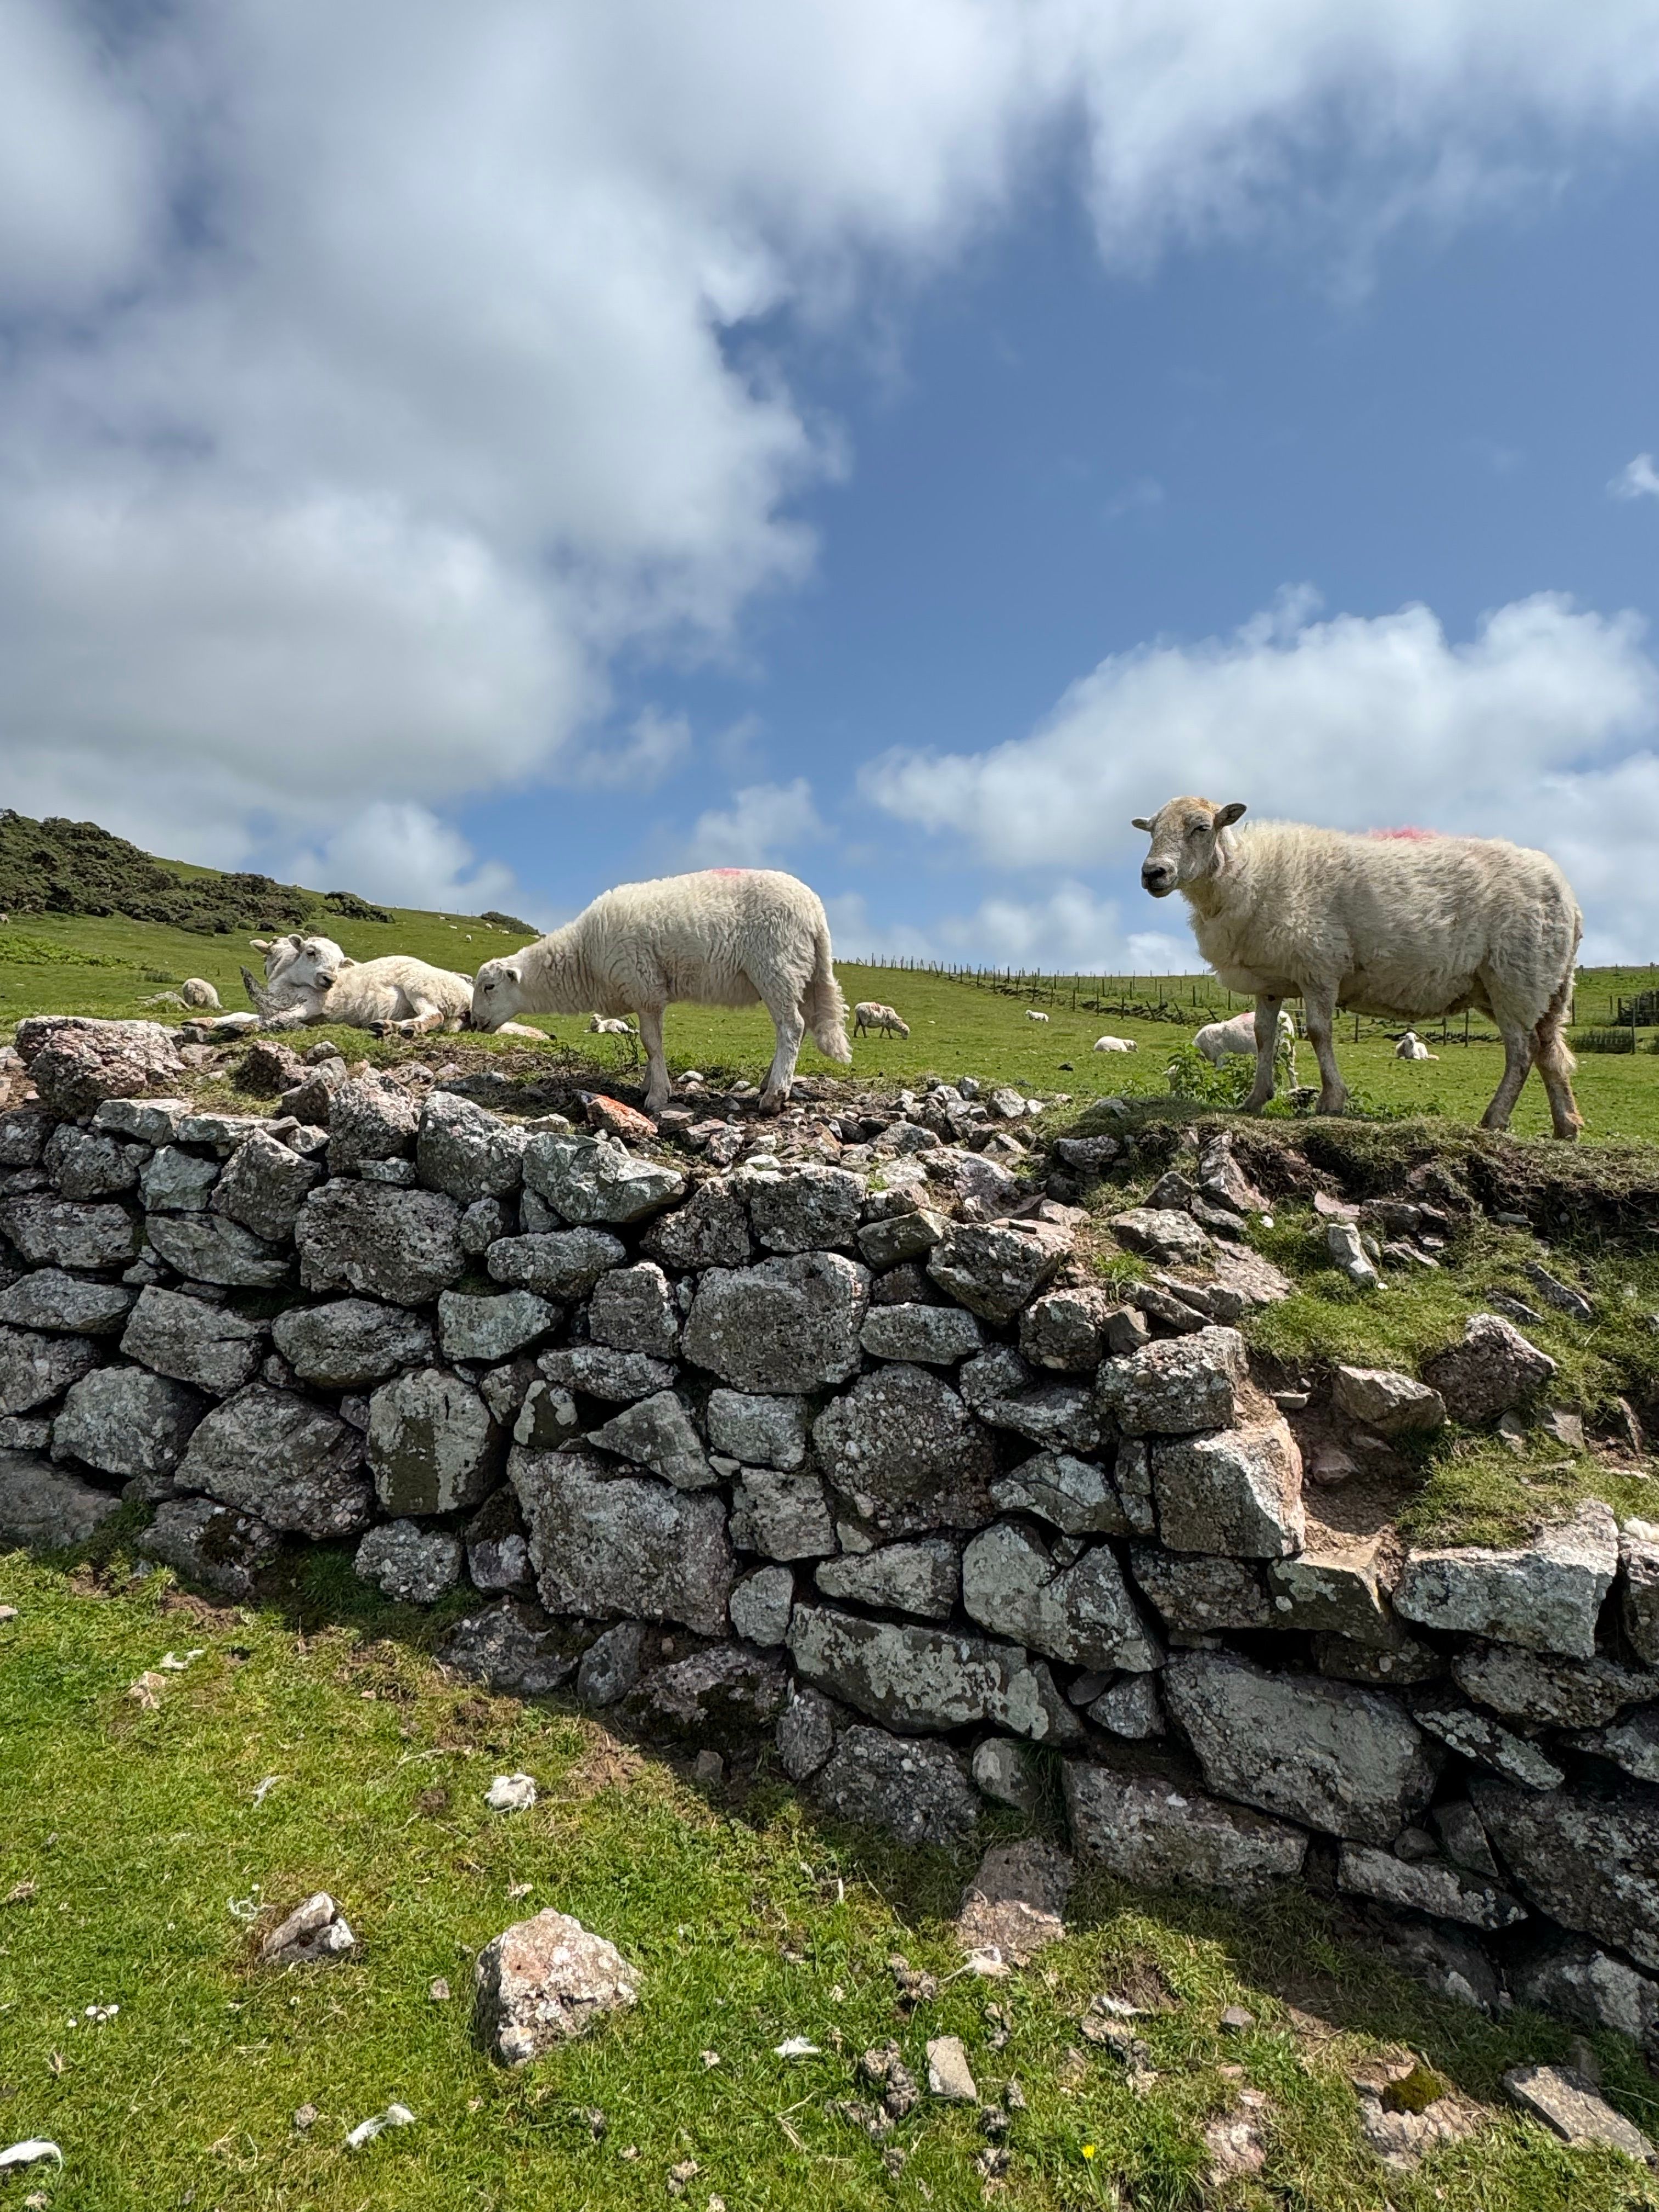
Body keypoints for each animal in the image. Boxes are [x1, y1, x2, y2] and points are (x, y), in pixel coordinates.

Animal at [242, 933, 473, 1038]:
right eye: (311, 952)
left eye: (339, 963)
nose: (330, 979)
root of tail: (469, 995)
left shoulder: (313, 1003)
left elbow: (277, 1018)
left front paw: (246, 1027)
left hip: (421, 987)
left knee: (435, 1015)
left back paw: (401, 1027)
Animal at [470, 866, 851, 1115]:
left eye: (489, 986)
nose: (473, 1023)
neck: (584, 958)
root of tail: (815, 911)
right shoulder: (645, 994)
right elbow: (650, 1046)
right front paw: (648, 1084)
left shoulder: (645, 987)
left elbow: (651, 1044)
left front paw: (657, 1096)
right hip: (796, 972)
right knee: (796, 1026)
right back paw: (769, 1082)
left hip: (776, 966)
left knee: (791, 1028)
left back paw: (774, 1096)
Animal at [1133, 796, 1581, 1137]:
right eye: (1151, 831)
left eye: (1201, 827)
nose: (1153, 873)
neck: (1243, 875)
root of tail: (1566, 895)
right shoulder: (1271, 982)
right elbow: (1264, 1038)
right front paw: (1256, 1099)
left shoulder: (1319, 966)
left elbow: (1319, 1033)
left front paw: (1331, 1100)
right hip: (1539, 985)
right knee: (1549, 1051)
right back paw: (1566, 1126)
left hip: (1515, 977)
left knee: (1522, 1052)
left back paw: (1495, 1119)